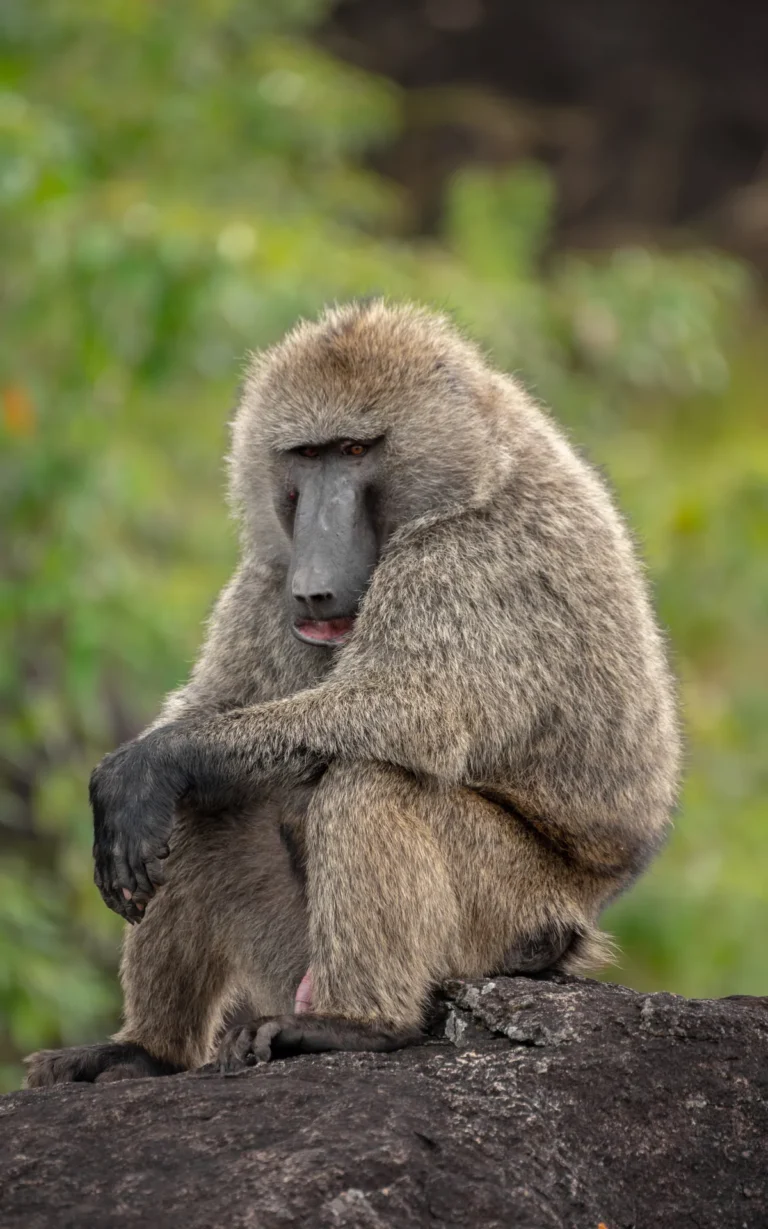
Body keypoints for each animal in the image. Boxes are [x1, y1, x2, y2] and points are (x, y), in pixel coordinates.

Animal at [25, 299, 681, 1087]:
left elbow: (407, 711)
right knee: (204, 805)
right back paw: (148, 1050)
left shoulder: (471, 561)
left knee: (371, 778)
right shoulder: (268, 576)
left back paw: (357, 1026)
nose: (314, 584)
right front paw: (131, 776)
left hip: (512, 914)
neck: (476, 463)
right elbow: (214, 707)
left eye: (356, 449)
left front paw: (150, 764)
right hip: (292, 955)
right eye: (307, 456)